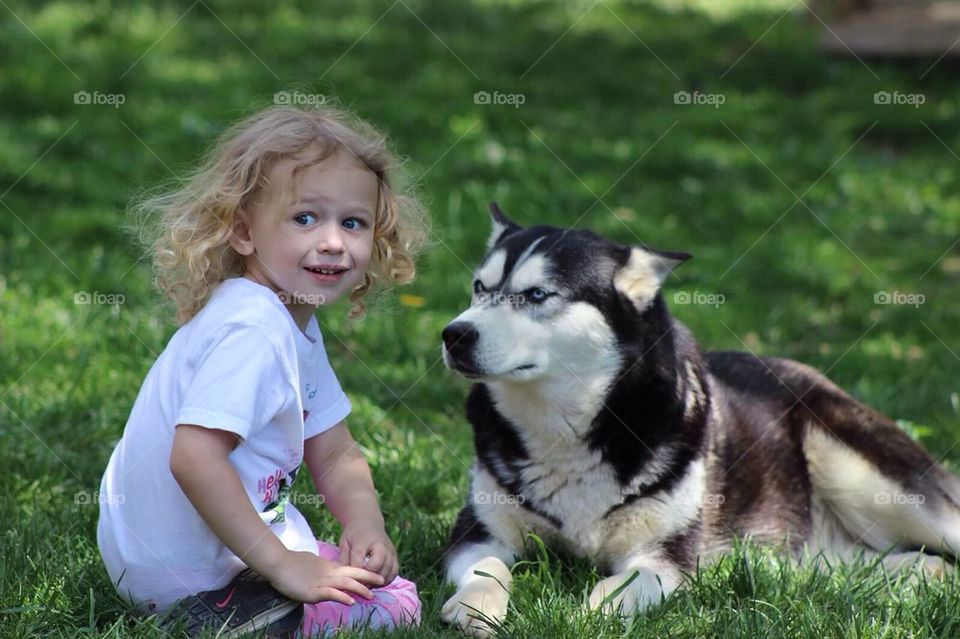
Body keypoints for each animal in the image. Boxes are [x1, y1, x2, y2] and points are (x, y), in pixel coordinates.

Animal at [438, 204, 956, 636]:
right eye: (479, 288)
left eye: (537, 294)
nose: (454, 334)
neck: (565, 429)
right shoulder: (478, 530)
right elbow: (489, 568)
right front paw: (474, 605)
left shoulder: (663, 559)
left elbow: (614, 589)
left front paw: (581, 617)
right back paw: (922, 571)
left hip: (877, 481)